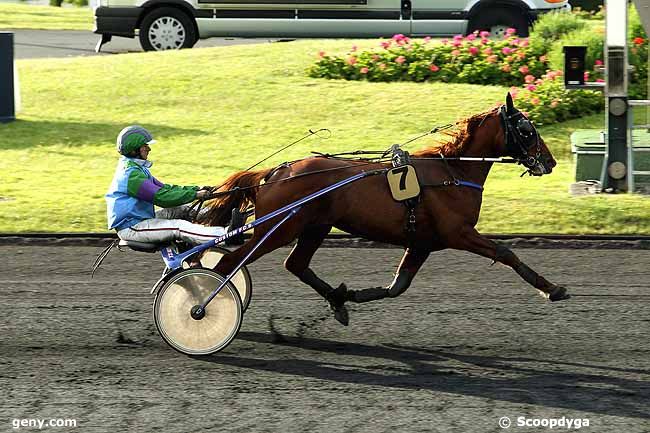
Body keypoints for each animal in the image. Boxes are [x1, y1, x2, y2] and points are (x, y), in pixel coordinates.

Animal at [196, 94, 568, 324]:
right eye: (527, 129)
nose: (549, 162)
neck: (453, 172)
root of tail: (274, 172)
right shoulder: (458, 233)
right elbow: (505, 252)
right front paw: (552, 289)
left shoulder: (422, 243)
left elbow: (398, 285)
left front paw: (350, 295)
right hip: (279, 229)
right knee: (229, 263)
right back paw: (202, 305)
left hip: (315, 225)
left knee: (296, 264)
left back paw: (336, 300)